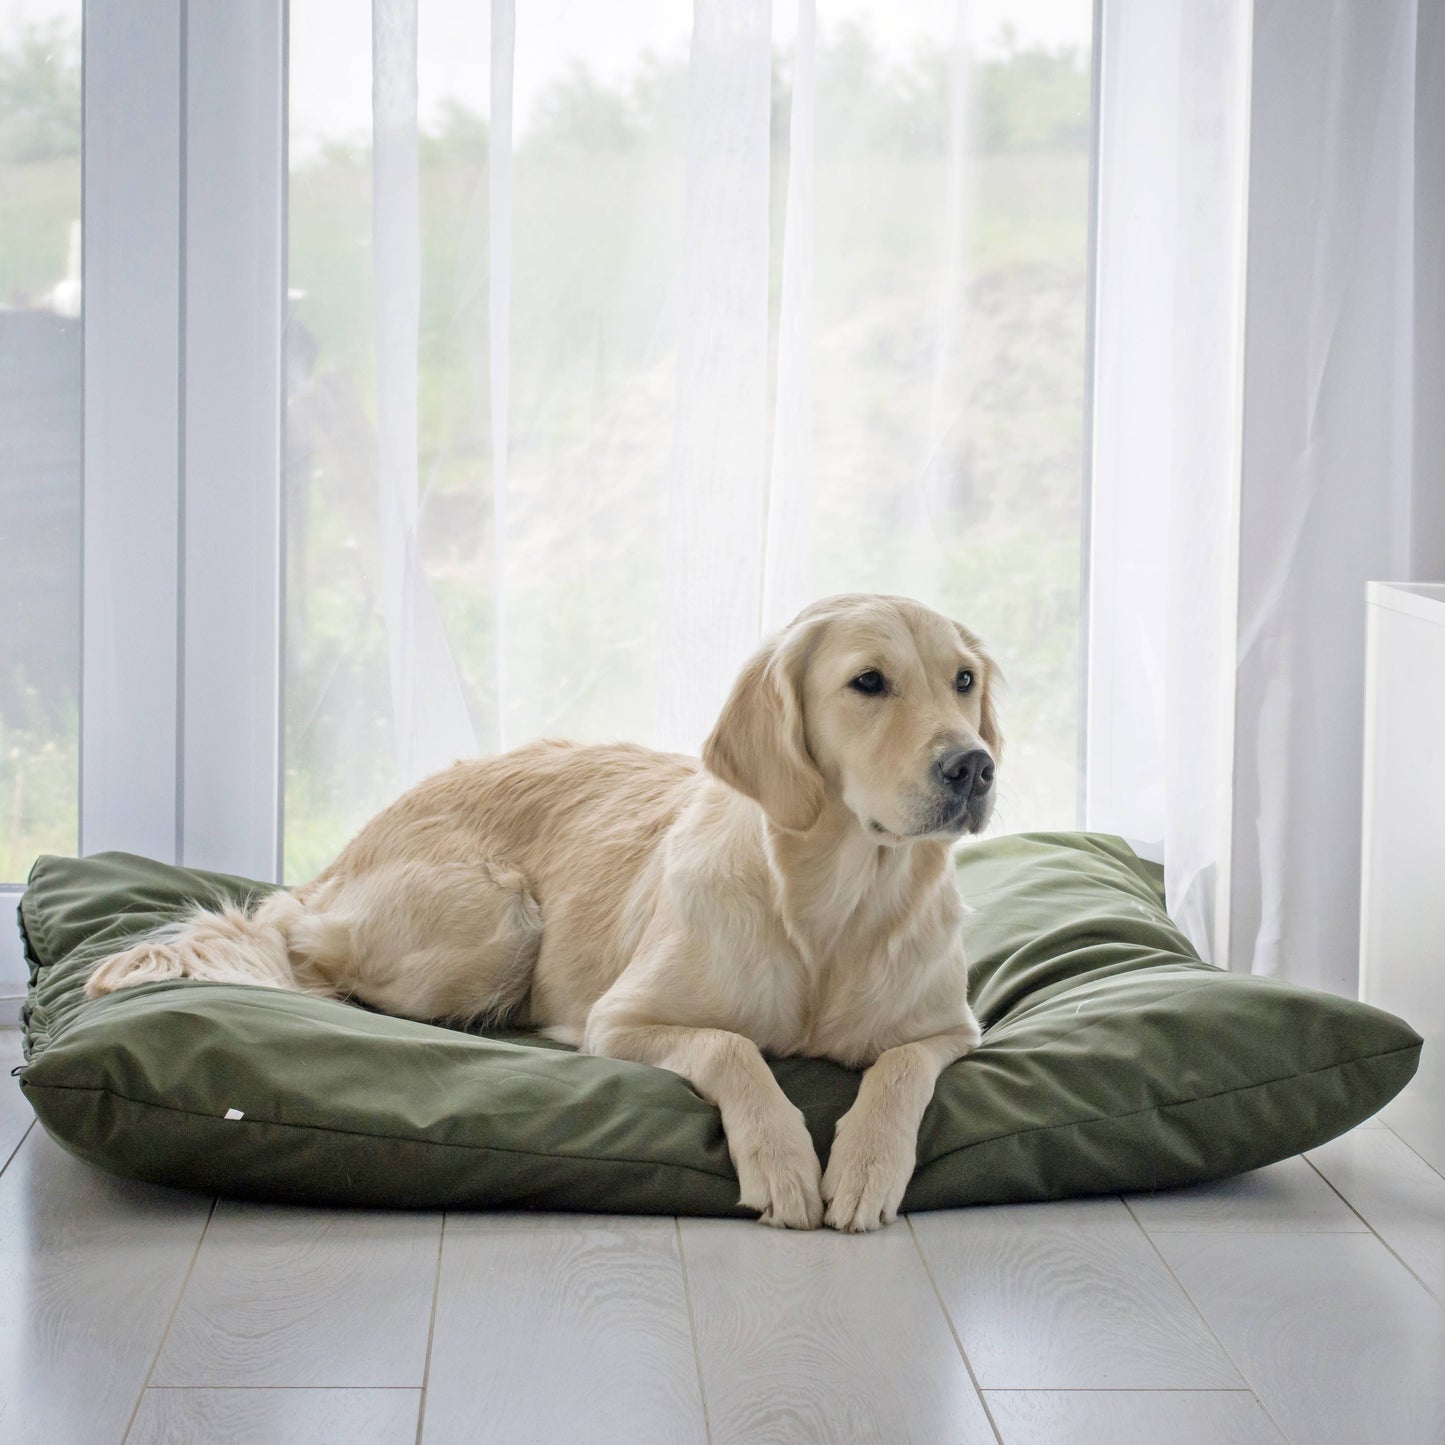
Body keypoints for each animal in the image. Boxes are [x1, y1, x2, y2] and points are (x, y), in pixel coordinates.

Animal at [84, 592, 999, 1225]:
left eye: (963, 680)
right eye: (867, 682)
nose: (974, 765)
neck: (831, 908)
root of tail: (339, 859)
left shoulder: (950, 1029)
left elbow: (898, 1070)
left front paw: (866, 1166)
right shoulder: (620, 1019)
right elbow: (734, 1047)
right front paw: (782, 1160)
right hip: (495, 923)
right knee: (304, 957)